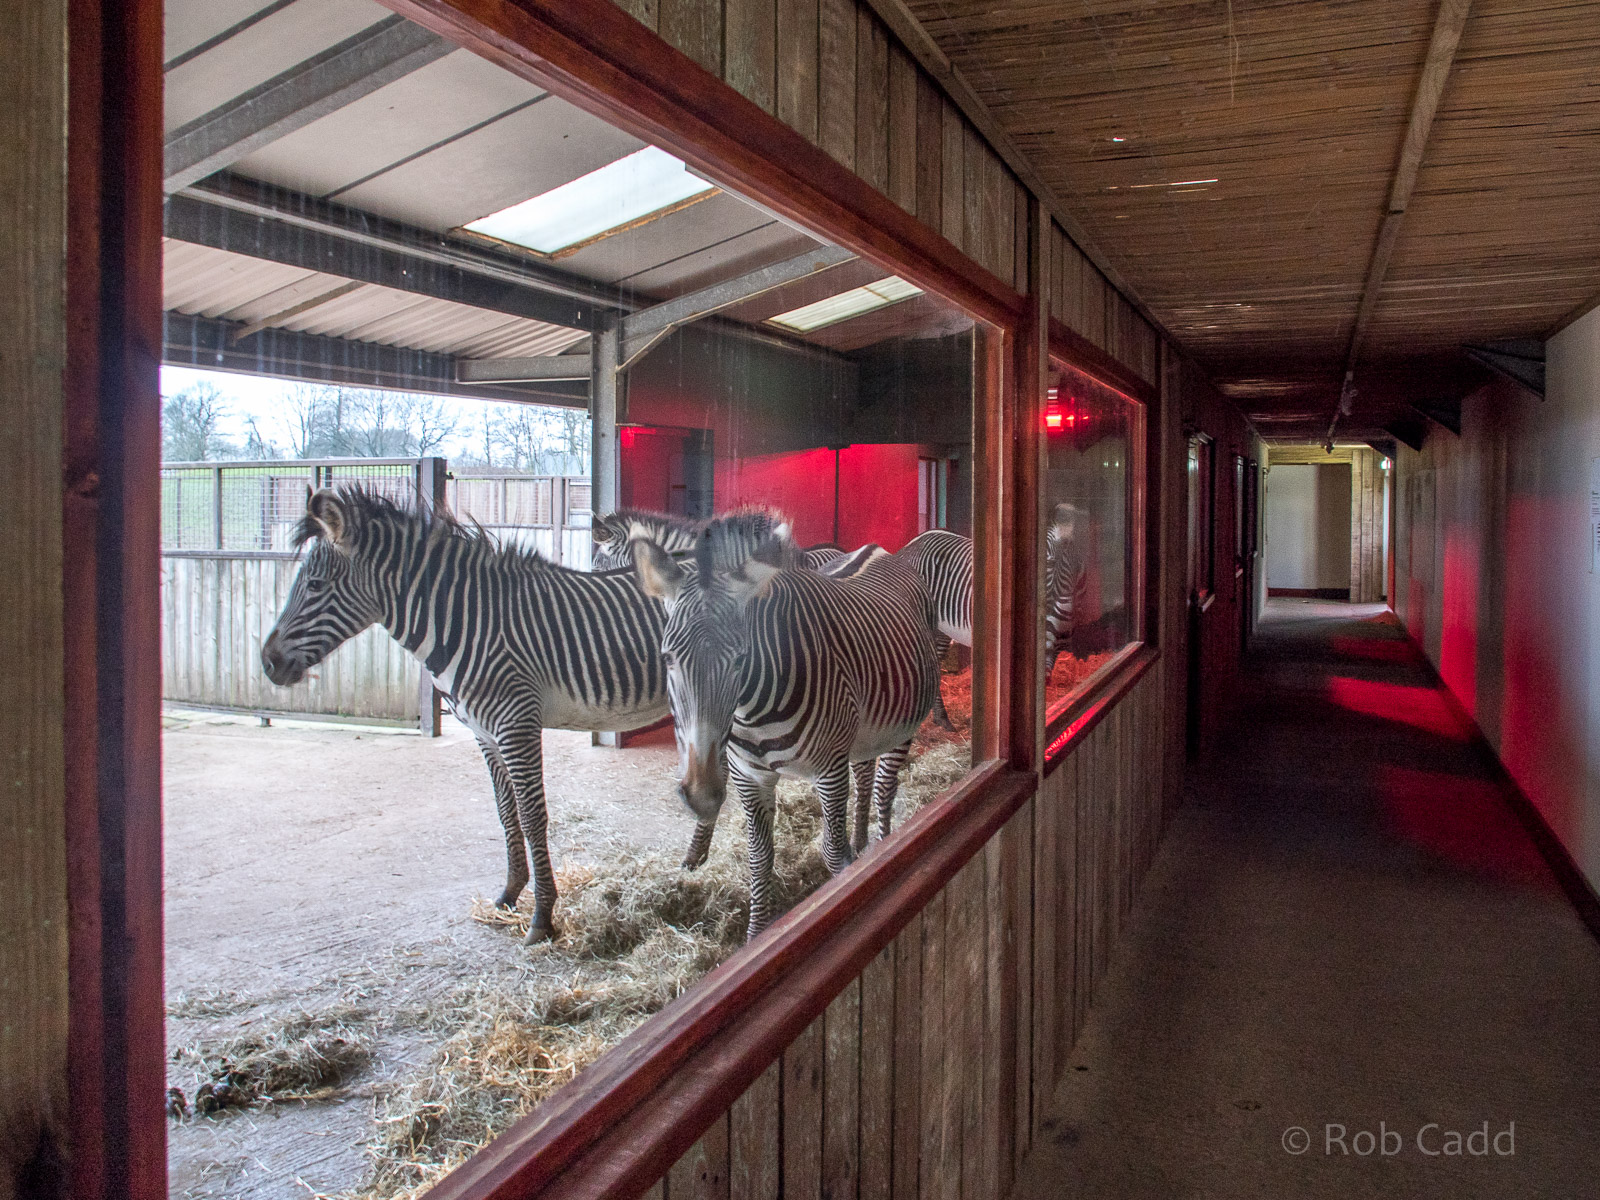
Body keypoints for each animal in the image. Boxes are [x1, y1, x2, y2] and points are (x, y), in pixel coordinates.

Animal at [260, 485, 686, 944]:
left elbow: (532, 816)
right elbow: (505, 811)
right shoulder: (484, 732)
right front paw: (509, 893)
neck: (467, 621)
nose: (267, 663)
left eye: (315, 585)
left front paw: (542, 916)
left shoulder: (517, 724)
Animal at [633, 512, 939, 939]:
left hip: (902, 726)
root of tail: (876, 550)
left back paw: (882, 845)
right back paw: (864, 842)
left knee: (884, 789)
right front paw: (756, 937)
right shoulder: (749, 776)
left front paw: (845, 888)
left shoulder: (829, 769)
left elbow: (833, 852)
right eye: (667, 658)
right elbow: (760, 858)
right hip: (865, 731)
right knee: (865, 775)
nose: (703, 796)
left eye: (741, 658)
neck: (752, 713)